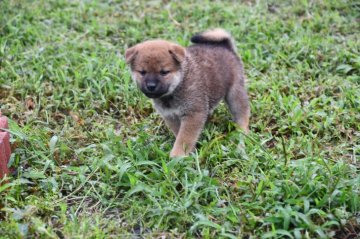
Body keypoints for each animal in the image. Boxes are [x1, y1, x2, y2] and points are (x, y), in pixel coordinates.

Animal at [126, 28, 250, 157]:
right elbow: (179, 134)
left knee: (243, 114)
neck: (179, 85)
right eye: (142, 72)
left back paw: (242, 134)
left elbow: (185, 137)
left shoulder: (193, 113)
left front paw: (178, 154)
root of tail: (225, 46)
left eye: (164, 72)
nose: (151, 86)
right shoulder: (171, 116)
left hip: (235, 93)